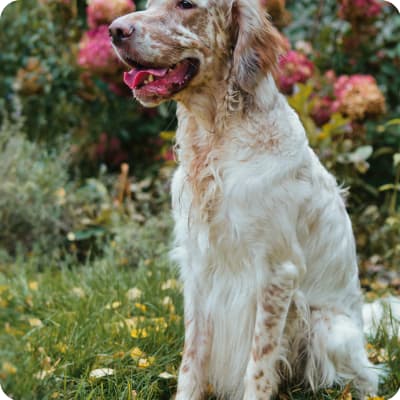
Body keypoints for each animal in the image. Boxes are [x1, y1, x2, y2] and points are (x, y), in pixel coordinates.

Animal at [108, 1, 378, 398]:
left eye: (186, 5)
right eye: (150, 4)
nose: (114, 30)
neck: (216, 138)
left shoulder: (277, 273)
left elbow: (259, 364)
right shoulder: (198, 269)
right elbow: (192, 358)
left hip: (330, 330)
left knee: (364, 377)